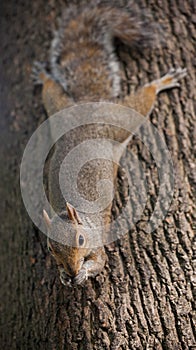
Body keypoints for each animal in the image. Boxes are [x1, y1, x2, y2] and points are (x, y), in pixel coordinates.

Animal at [32, 2, 187, 284]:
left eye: (81, 239)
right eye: (50, 248)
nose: (71, 271)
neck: (83, 221)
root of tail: (88, 104)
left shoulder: (98, 245)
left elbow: (100, 262)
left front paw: (83, 273)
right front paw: (64, 276)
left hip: (118, 121)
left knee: (141, 100)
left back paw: (161, 82)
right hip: (59, 114)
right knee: (51, 92)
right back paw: (43, 76)